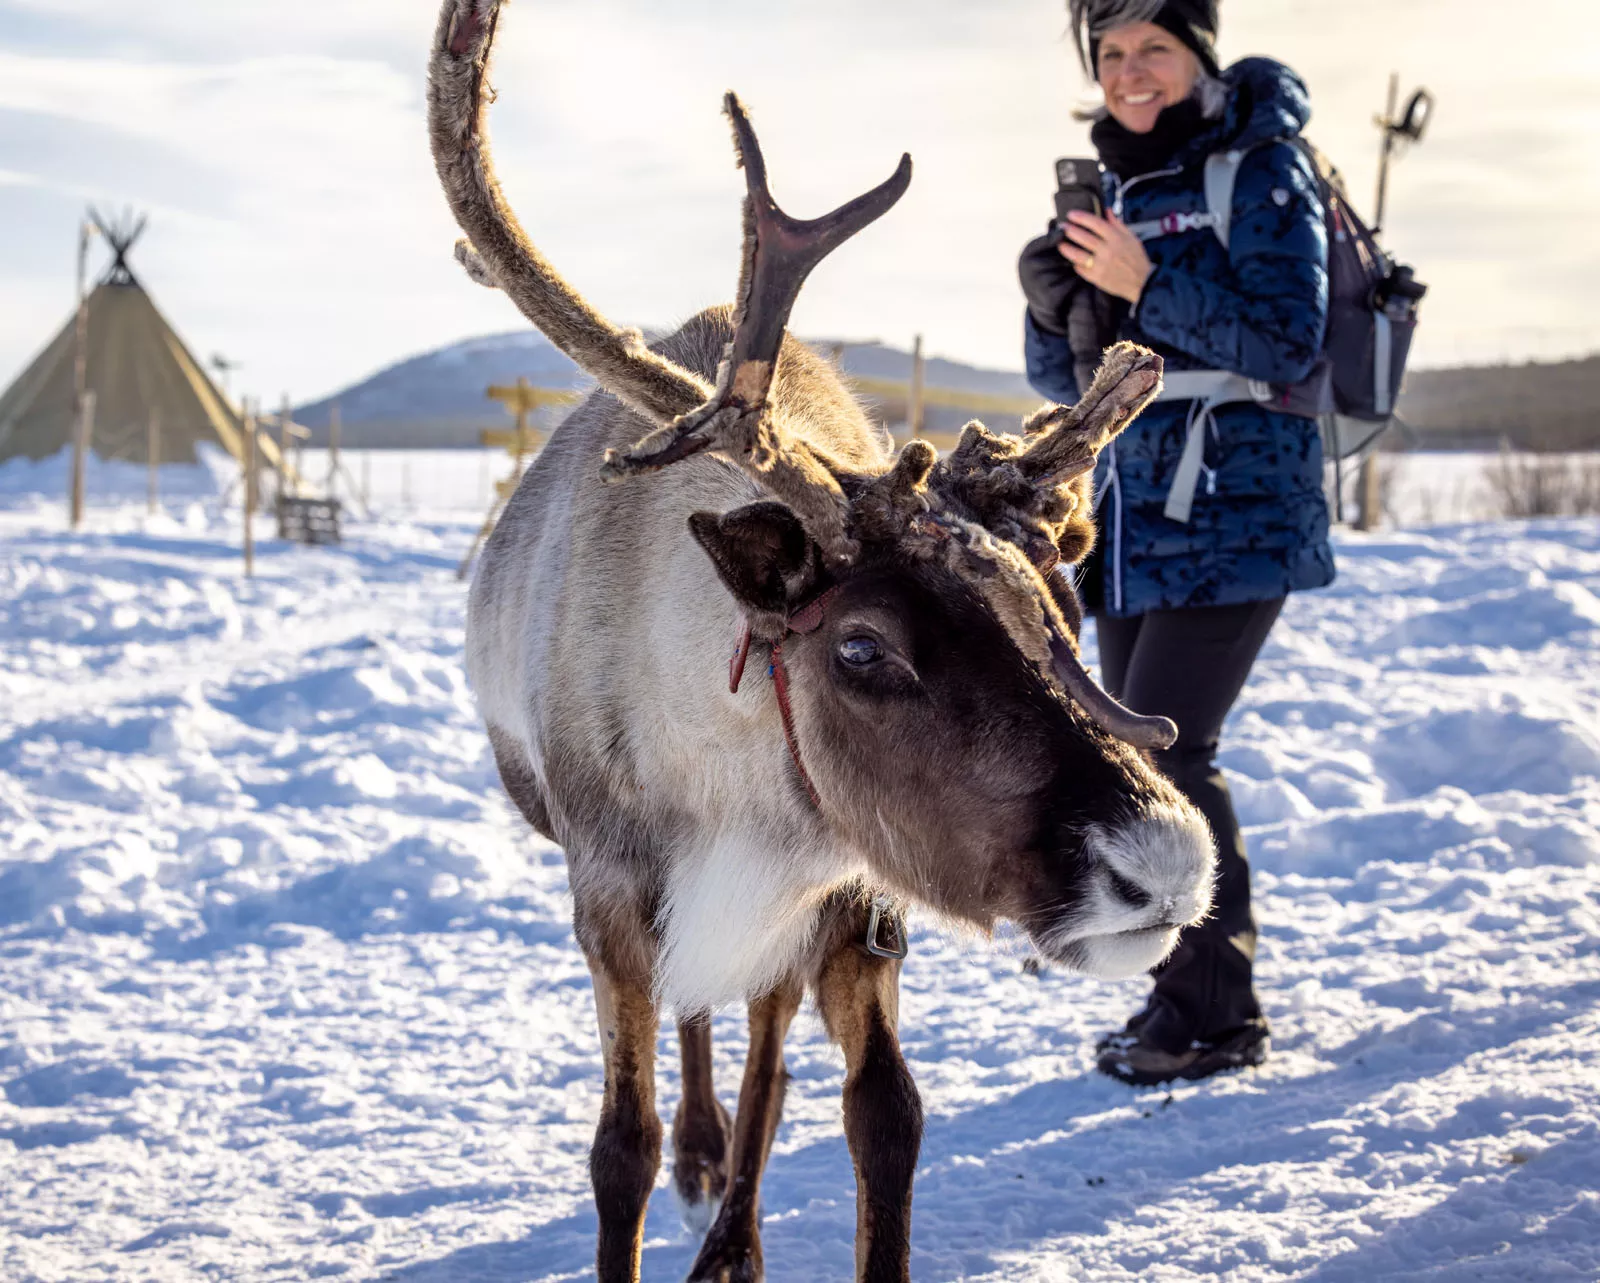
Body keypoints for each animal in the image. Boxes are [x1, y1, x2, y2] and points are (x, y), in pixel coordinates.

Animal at [427, 3, 1215, 1280]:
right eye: (858, 646)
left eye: (1063, 598)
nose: (1165, 862)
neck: (735, 789)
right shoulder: (611, 895)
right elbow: (620, 1145)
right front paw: (672, 1162)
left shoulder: (852, 892)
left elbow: (882, 1111)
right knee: (706, 1030)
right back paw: (709, 1167)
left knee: (766, 1030)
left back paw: (734, 1227)